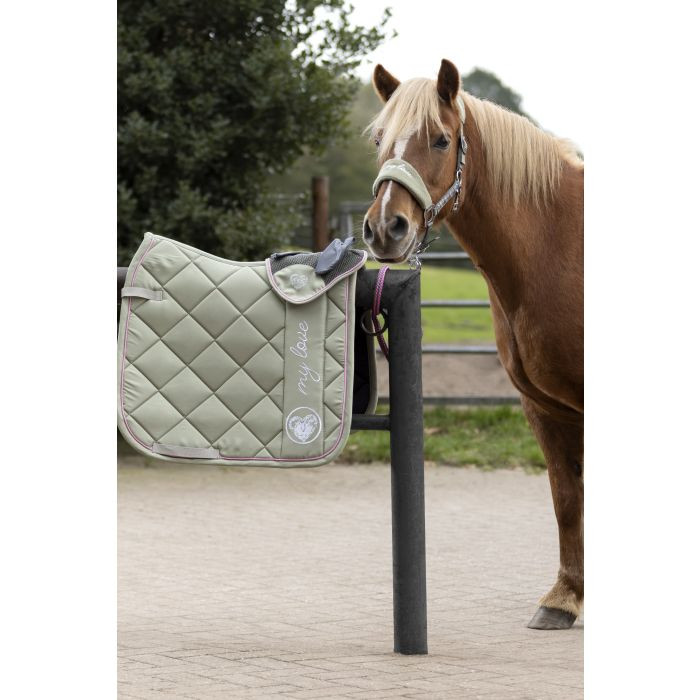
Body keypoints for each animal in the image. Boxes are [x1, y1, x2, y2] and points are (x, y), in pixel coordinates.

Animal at [363, 59, 583, 630]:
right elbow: (565, 496)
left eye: (441, 140)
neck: (560, 244)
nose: (385, 228)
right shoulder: (542, 406)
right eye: (379, 140)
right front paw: (563, 598)